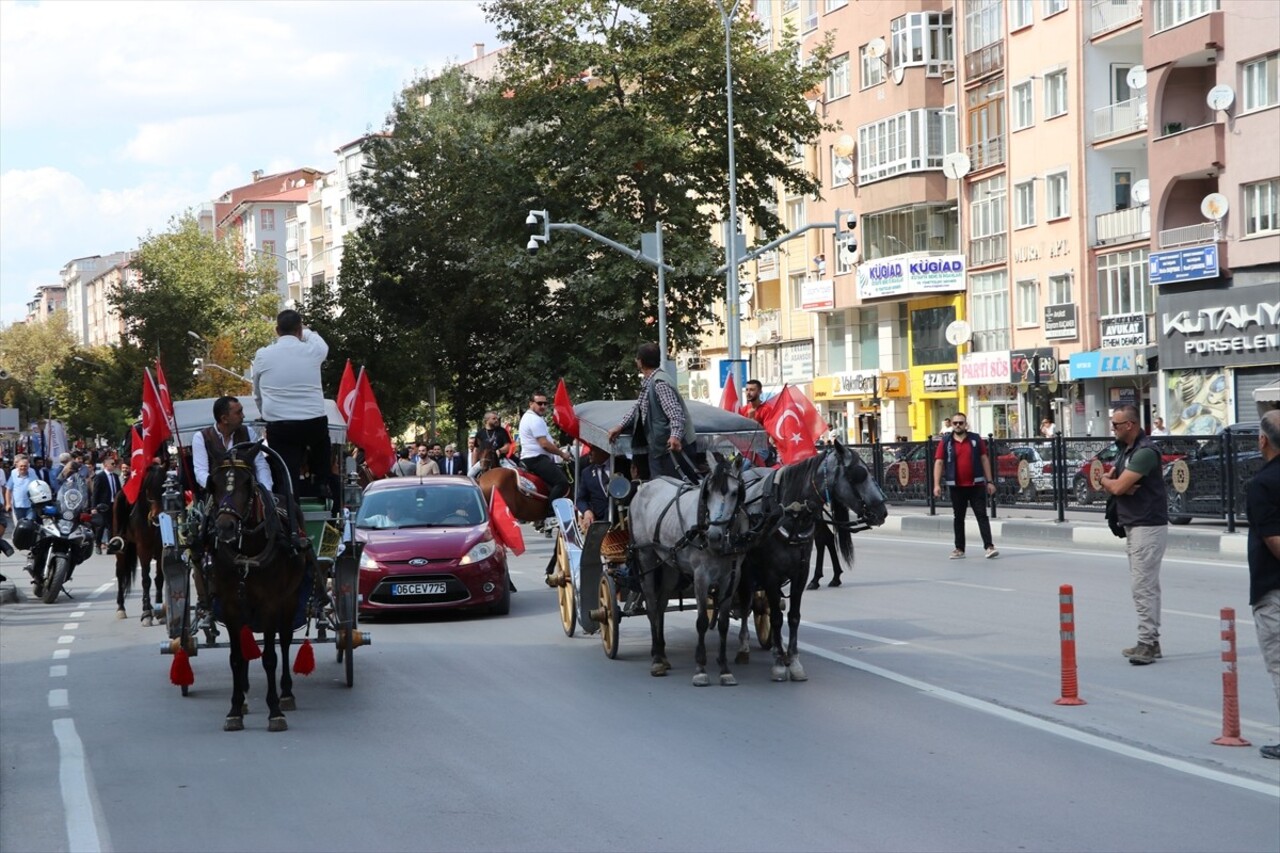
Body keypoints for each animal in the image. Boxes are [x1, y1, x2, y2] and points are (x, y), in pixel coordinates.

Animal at [212, 440, 309, 727]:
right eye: (213, 483)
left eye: (247, 482)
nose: (225, 527)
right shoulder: (231, 605)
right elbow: (235, 657)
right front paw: (234, 709)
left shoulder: (270, 604)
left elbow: (270, 657)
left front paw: (274, 710)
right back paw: (244, 695)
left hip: (290, 598)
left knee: (285, 640)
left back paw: (286, 693)